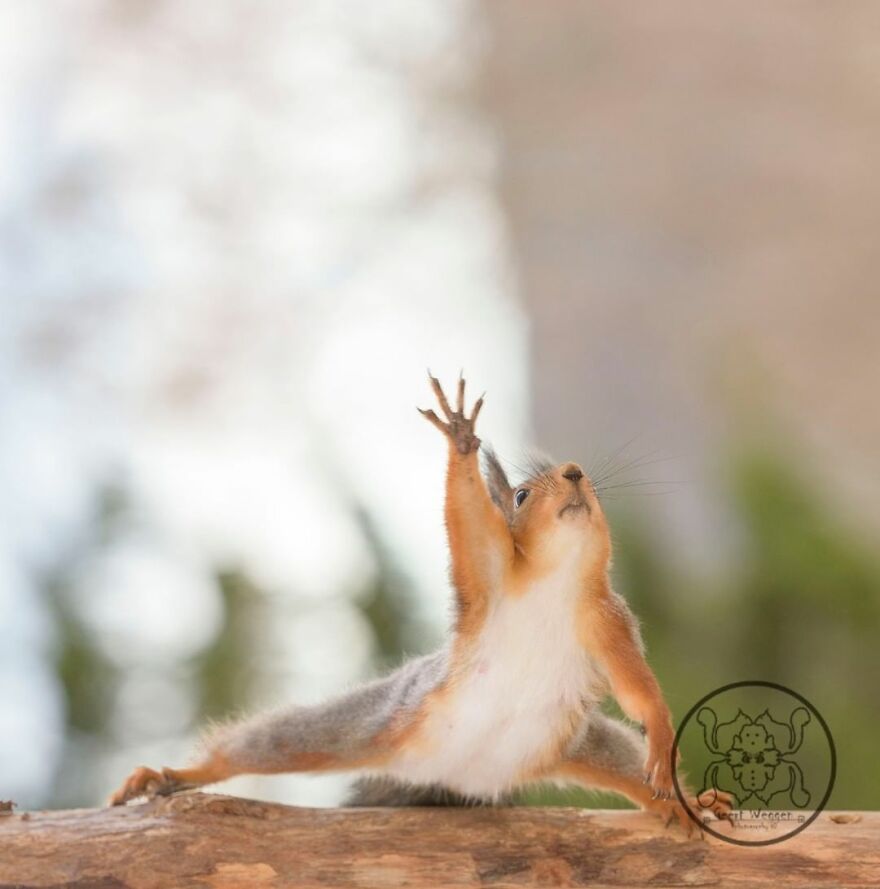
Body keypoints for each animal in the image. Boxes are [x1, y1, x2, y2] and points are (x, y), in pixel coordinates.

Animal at [109, 374, 731, 829]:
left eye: (592, 487)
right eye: (522, 495)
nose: (578, 473)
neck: (555, 580)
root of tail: (456, 775)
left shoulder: (608, 621)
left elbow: (635, 688)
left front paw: (661, 731)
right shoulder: (487, 576)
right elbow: (469, 518)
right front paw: (460, 436)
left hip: (574, 743)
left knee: (630, 767)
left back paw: (683, 804)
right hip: (371, 723)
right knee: (266, 745)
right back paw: (174, 774)